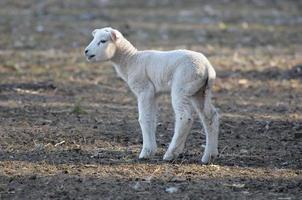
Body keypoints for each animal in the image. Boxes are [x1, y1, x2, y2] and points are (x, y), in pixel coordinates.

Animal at [85, 27, 219, 164]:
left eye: (103, 41)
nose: (86, 52)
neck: (131, 60)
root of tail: (208, 68)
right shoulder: (154, 94)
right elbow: (152, 119)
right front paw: (151, 149)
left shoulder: (145, 90)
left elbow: (144, 119)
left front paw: (146, 152)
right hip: (199, 91)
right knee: (210, 116)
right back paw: (209, 156)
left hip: (182, 86)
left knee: (185, 117)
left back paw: (171, 153)